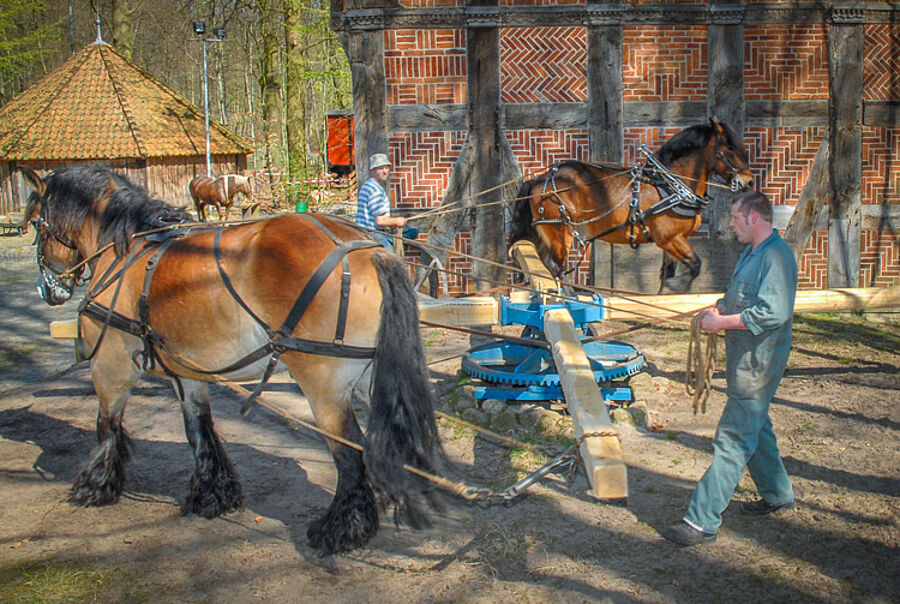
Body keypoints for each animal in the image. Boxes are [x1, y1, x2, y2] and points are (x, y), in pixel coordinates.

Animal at [22, 165, 442, 556]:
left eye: (36, 223)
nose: (50, 289)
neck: (125, 251)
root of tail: (370, 250)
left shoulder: (110, 366)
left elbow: (106, 427)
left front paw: (95, 486)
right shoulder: (185, 371)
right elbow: (199, 429)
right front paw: (212, 493)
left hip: (323, 385)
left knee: (348, 454)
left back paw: (340, 529)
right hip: (371, 377)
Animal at [510, 119, 756, 294]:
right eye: (730, 149)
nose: (749, 181)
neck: (671, 186)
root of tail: (540, 179)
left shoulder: (673, 240)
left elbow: (668, 272)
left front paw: (666, 294)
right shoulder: (668, 238)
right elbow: (695, 264)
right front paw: (677, 287)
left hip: (545, 234)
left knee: (542, 265)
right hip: (560, 233)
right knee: (557, 268)